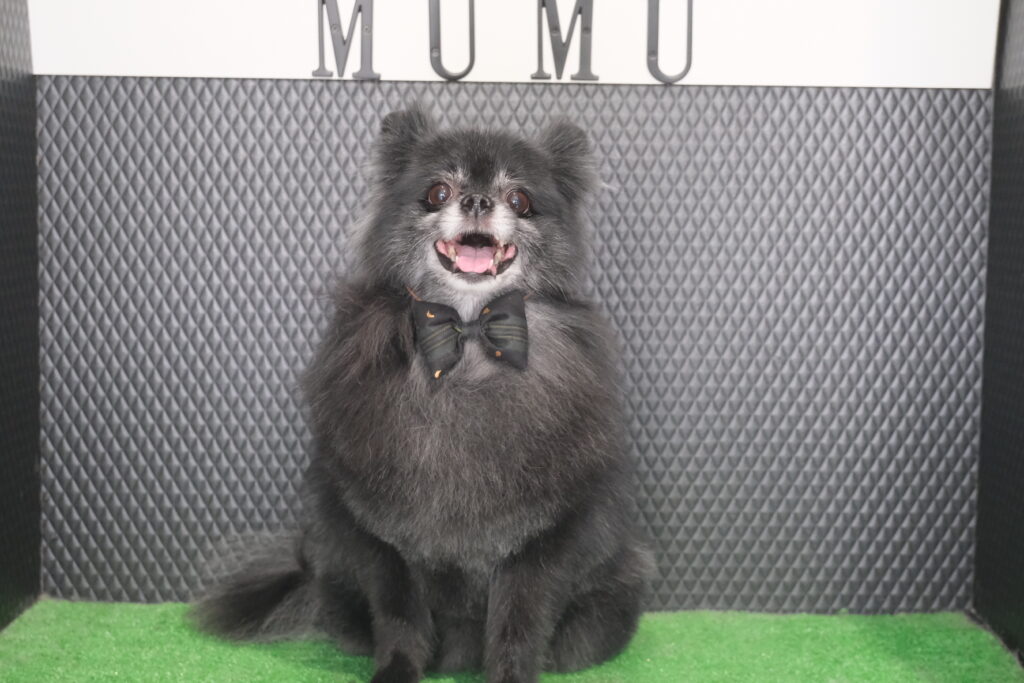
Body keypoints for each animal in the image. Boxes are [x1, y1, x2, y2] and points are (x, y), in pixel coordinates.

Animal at [192, 106, 650, 683]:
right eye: (438, 192)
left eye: (520, 200)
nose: (476, 201)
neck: (467, 335)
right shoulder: (381, 541)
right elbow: (400, 617)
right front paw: (397, 671)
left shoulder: (544, 543)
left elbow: (519, 621)